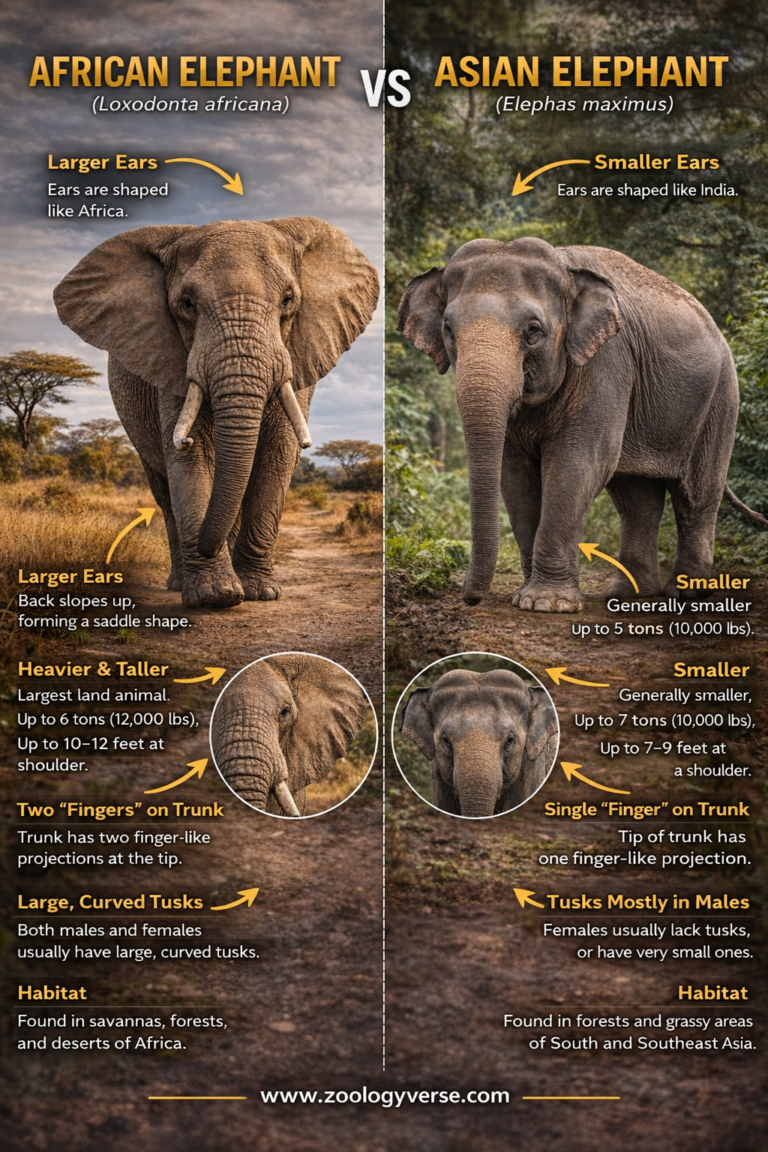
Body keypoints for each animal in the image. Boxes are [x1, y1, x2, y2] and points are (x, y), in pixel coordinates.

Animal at [54, 218, 379, 609]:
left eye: (287, 301)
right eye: (187, 304)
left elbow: (277, 456)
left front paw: (260, 593)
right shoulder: (172, 362)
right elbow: (192, 459)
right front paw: (216, 596)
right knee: (164, 493)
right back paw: (180, 583)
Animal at [398, 236, 766, 612]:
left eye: (533, 332)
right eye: (448, 331)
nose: (468, 598)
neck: (566, 270)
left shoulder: (607, 362)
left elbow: (579, 463)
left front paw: (545, 603)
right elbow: (515, 475)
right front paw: (526, 596)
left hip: (720, 397)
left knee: (695, 493)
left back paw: (687, 594)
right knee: (635, 498)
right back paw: (628, 594)